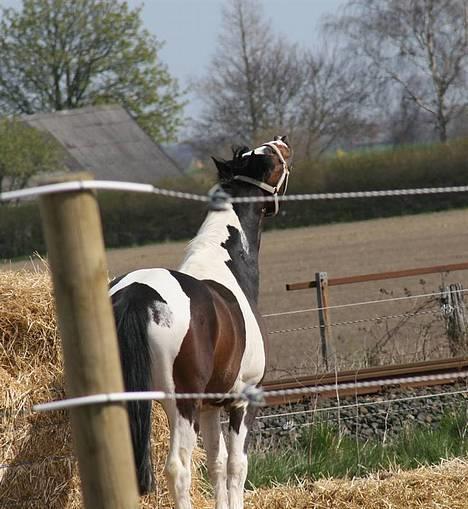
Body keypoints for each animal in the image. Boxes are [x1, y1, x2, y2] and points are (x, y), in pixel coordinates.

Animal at [109, 135, 292, 508]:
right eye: (269, 158)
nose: (282, 140)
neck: (225, 264)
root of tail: (137, 293)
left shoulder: (210, 406)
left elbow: (217, 464)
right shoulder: (242, 400)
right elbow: (236, 465)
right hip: (181, 404)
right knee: (178, 469)